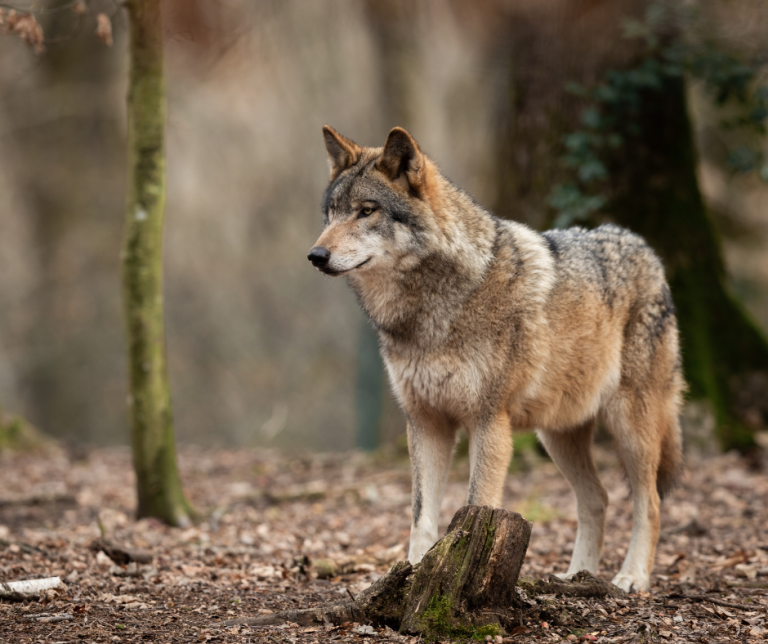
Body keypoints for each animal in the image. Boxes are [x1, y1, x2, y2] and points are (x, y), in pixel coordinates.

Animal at [306, 123, 684, 592]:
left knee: (649, 502)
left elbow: (475, 507)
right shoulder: (426, 423)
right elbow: (421, 517)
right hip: (557, 435)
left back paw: (632, 577)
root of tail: (644, 247)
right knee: (598, 498)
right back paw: (576, 576)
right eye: (332, 213)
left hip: (631, 428)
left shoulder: (489, 422)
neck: (430, 311)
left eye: (366, 211)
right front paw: (414, 575)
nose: (316, 256)